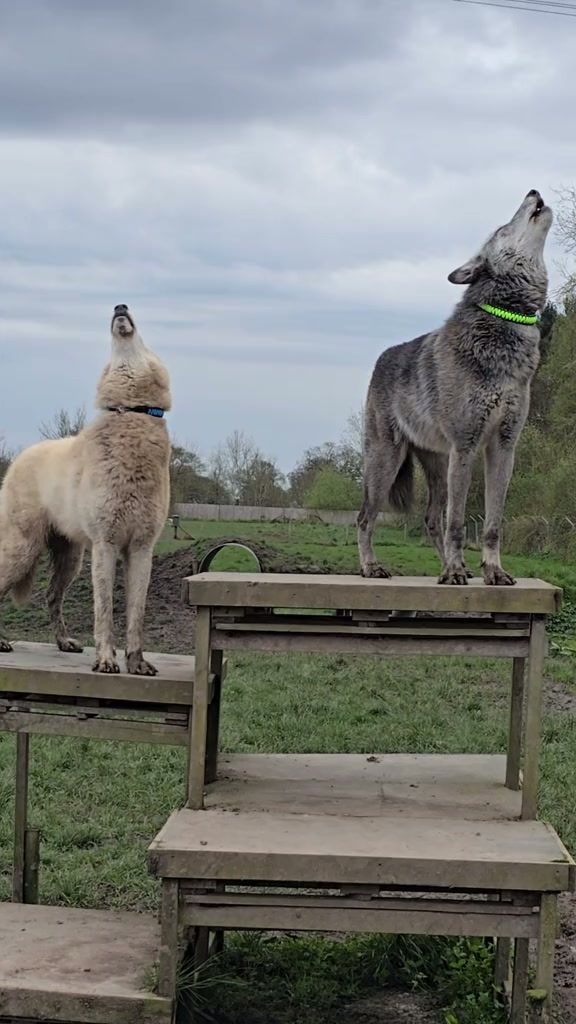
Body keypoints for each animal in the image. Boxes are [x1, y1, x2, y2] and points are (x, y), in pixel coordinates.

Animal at [0, 304, 171, 674]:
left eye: (143, 341)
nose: (120, 307)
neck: (129, 414)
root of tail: (21, 456)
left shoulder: (141, 549)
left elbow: (136, 615)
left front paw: (137, 662)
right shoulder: (106, 546)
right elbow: (104, 611)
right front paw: (106, 659)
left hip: (70, 560)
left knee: (52, 596)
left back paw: (64, 641)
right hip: (23, 551)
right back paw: (1, 642)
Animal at [357, 189, 553, 586]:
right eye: (502, 228)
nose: (534, 192)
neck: (505, 320)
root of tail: (381, 358)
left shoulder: (503, 448)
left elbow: (491, 524)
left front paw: (492, 571)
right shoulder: (467, 446)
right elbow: (459, 522)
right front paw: (454, 570)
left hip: (438, 466)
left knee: (432, 519)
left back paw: (451, 566)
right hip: (387, 462)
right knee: (365, 518)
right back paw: (372, 567)